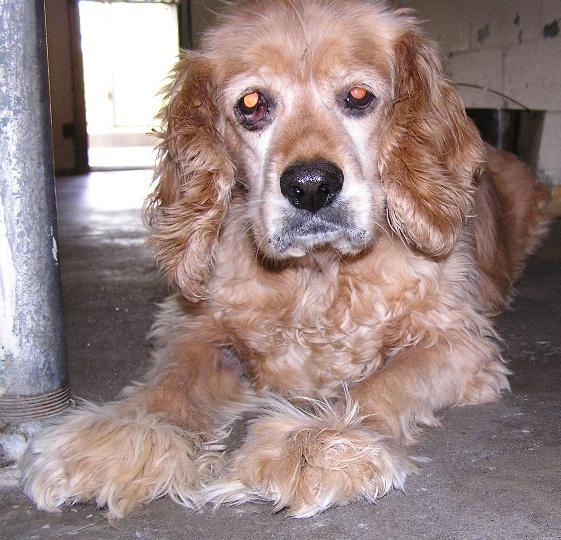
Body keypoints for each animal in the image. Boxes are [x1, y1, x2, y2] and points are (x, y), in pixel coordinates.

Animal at [22, 0, 548, 518]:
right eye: (252, 104)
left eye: (359, 95)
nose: (311, 186)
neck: (316, 275)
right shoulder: (197, 326)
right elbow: (172, 382)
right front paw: (122, 440)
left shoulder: (458, 342)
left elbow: (381, 385)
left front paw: (315, 443)